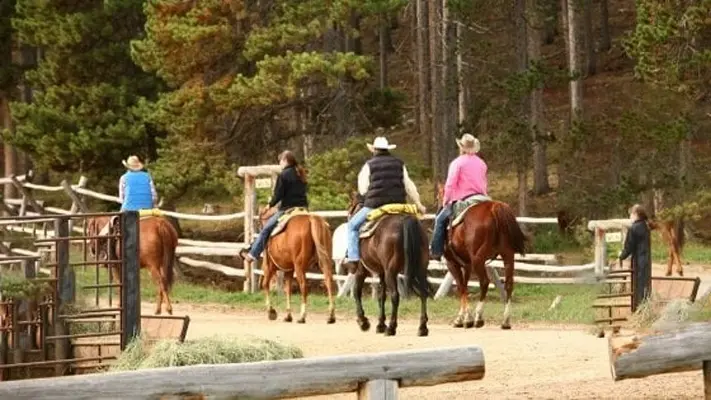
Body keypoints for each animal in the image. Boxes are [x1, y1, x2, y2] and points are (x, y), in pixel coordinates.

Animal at [344, 192, 428, 336]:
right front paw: (380, 324)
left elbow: (356, 292)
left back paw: (392, 328)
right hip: (419, 269)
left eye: (350, 205)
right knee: (423, 293)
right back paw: (422, 328)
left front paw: (363, 322)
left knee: (395, 296)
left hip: (391, 272)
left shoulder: (361, 271)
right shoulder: (381, 273)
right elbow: (381, 296)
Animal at [434, 183, 528, 330]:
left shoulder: (452, 263)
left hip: (478, 260)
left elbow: (461, 287)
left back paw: (479, 318)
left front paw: (464, 319)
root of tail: (494, 208)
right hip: (508, 256)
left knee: (484, 282)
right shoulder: (467, 265)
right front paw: (465, 317)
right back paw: (505, 321)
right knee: (508, 284)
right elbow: (465, 286)